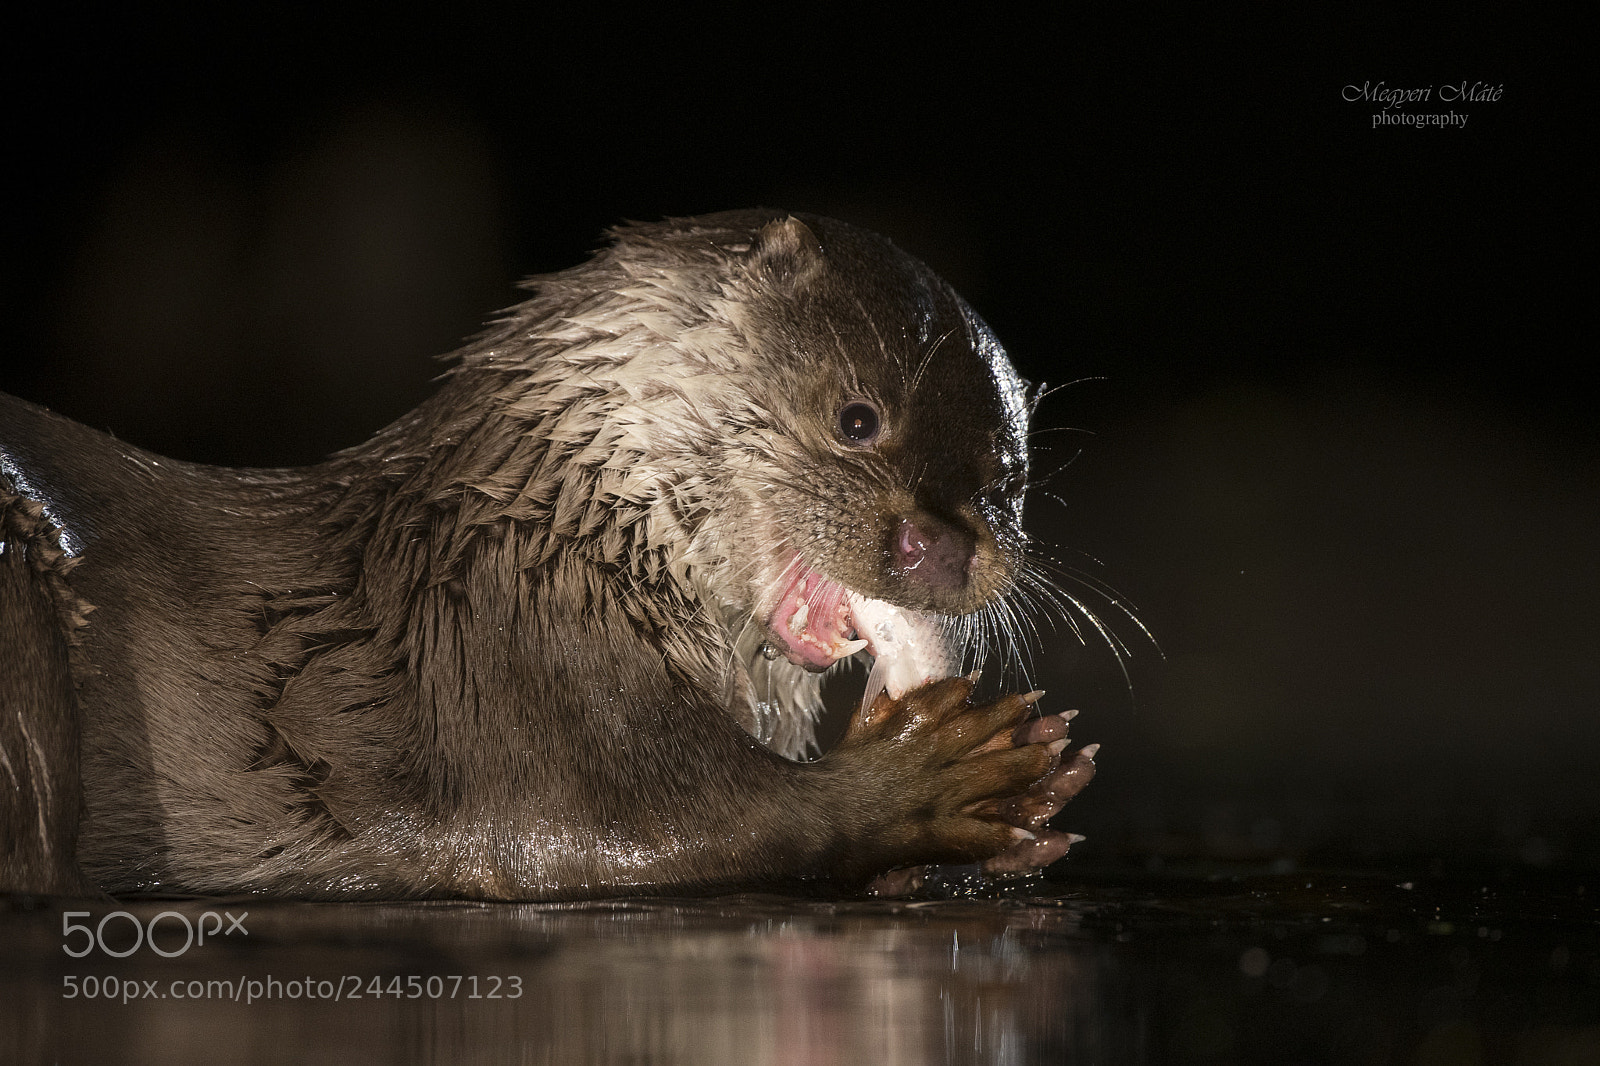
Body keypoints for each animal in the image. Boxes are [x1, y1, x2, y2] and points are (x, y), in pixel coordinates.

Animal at [0, 210, 1096, 900]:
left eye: (1005, 479)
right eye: (857, 418)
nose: (943, 545)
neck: (549, 539)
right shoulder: (515, 676)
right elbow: (667, 826)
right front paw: (948, 771)